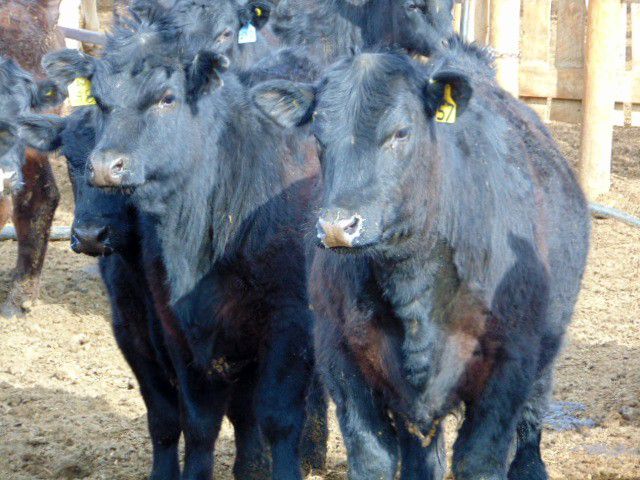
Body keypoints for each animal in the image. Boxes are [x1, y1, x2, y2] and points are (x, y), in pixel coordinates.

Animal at [38, 10, 325, 479]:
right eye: (100, 100)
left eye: (166, 97)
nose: (106, 167)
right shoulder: (166, 327)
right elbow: (192, 420)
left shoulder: (290, 320)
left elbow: (278, 417)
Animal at [251, 40, 591, 480]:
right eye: (318, 136)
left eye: (401, 132)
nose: (338, 226)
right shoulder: (343, 358)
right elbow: (372, 457)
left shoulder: (508, 361)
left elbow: (480, 458)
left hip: (549, 338)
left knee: (533, 411)